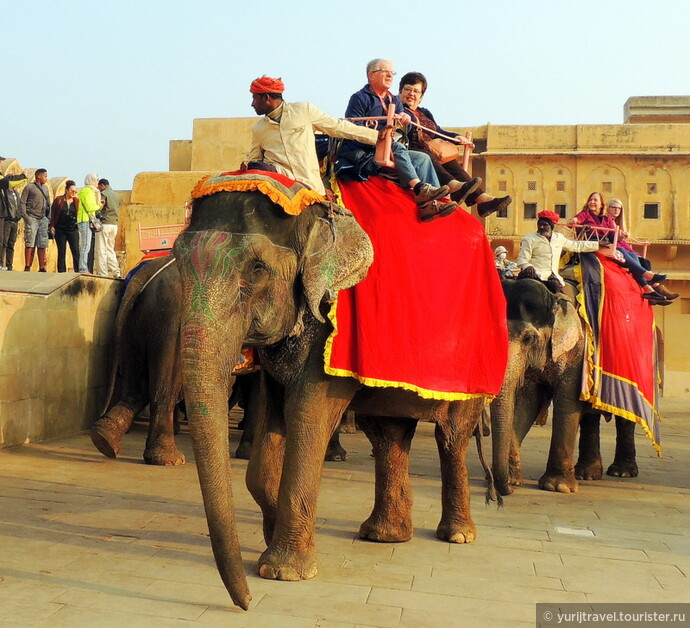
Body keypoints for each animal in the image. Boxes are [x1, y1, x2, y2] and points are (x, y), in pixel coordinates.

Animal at [172, 190, 492, 608]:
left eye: (257, 268)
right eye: (177, 259)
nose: (246, 603)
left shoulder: (330, 327)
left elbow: (307, 414)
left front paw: (283, 571)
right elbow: (273, 423)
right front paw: (270, 541)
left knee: (451, 435)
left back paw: (457, 534)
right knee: (389, 434)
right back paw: (384, 535)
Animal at [490, 278, 640, 498]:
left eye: (528, 338)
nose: (507, 490)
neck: (554, 297)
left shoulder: (577, 351)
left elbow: (567, 402)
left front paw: (556, 487)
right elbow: (527, 404)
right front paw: (514, 478)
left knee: (626, 415)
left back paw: (622, 472)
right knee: (590, 416)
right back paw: (586, 474)